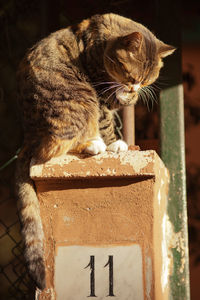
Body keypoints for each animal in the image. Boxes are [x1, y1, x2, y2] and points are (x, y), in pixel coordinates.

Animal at [15, 12, 175, 290]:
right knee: (50, 150)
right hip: (80, 98)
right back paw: (94, 144)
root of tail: (29, 135)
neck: (101, 43)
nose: (134, 88)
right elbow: (106, 120)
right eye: (130, 74)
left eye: (146, 79)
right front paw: (115, 142)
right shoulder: (99, 90)